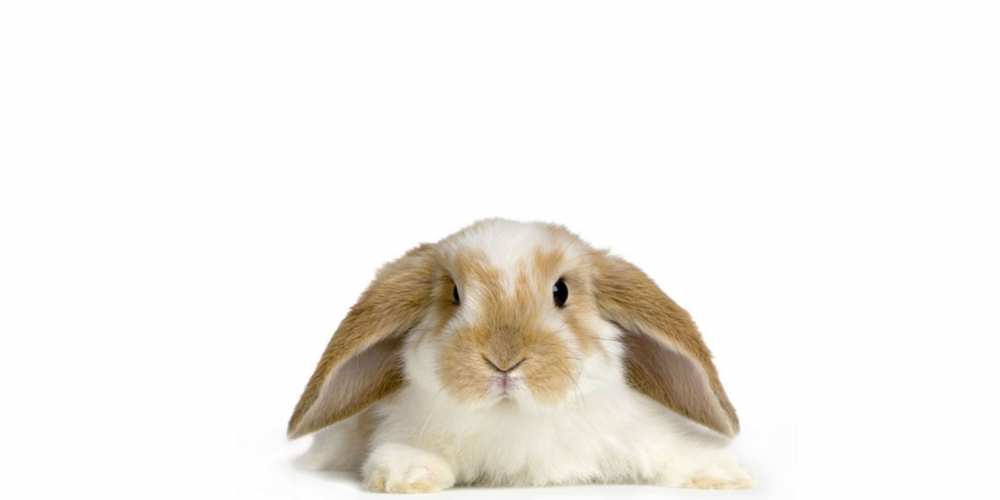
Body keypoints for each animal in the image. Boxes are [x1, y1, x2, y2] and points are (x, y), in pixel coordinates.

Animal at [288, 219, 752, 493]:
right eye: (454, 294)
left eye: (561, 291)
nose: (504, 359)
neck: (515, 417)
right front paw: (408, 474)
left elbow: (670, 450)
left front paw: (724, 474)